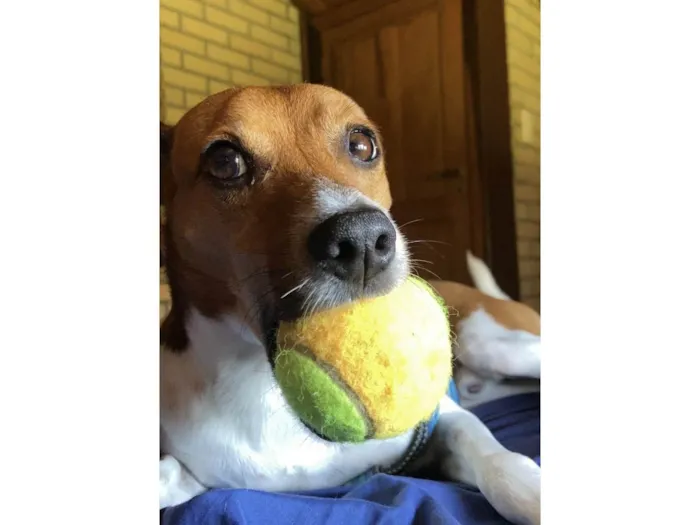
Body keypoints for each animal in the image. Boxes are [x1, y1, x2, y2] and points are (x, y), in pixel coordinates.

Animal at [160, 84, 540, 520]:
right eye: (224, 162)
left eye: (362, 144)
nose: (362, 239)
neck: (262, 384)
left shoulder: (446, 421)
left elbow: (498, 460)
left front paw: (533, 494)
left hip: (492, 344)